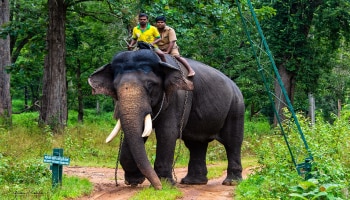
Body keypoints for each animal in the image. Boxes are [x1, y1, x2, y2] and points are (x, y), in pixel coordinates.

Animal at [89, 49, 245, 190]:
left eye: (150, 85)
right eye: (115, 88)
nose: (157, 187)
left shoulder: (177, 97)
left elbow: (167, 133)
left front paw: (165, 184)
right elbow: (138, 133)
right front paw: (134, 181)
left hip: (236, 107)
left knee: (232, 142)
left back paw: (231, 183)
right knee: (196, 144)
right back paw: (193, 182)